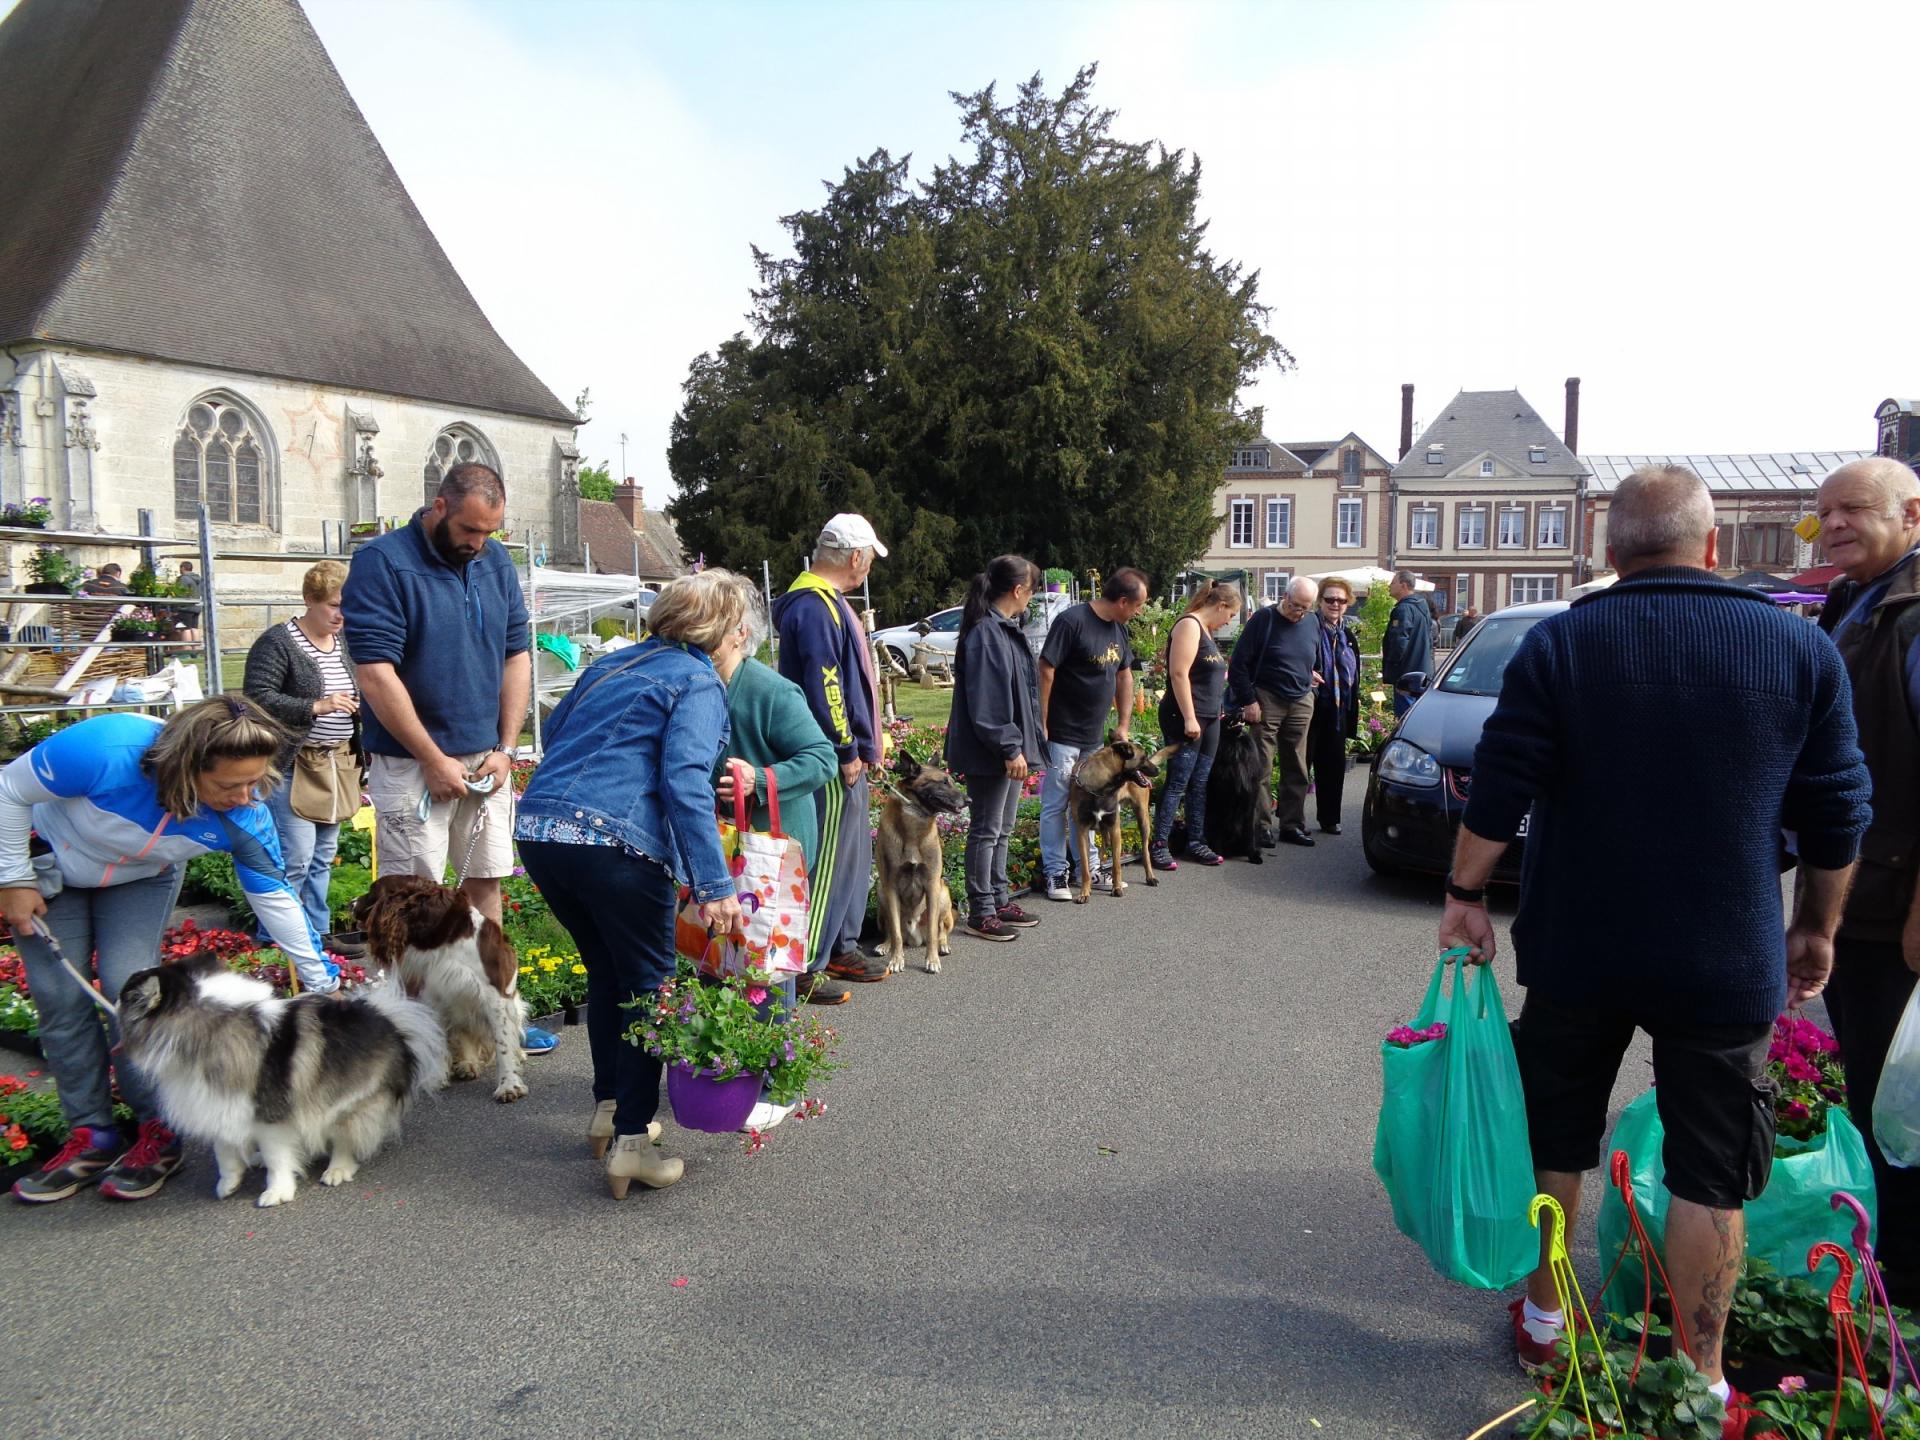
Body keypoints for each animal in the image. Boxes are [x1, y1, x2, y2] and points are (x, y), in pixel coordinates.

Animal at [120, 960, 449, 1205]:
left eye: (127, 996)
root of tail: (390, 1020)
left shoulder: (270, 1116)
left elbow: (277, 1158)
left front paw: (277, 1192)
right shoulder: (218, 1105)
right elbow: (224, 1152)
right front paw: (229, 1184)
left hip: (348, 1103)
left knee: (345, 1139)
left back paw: (338, 1169)